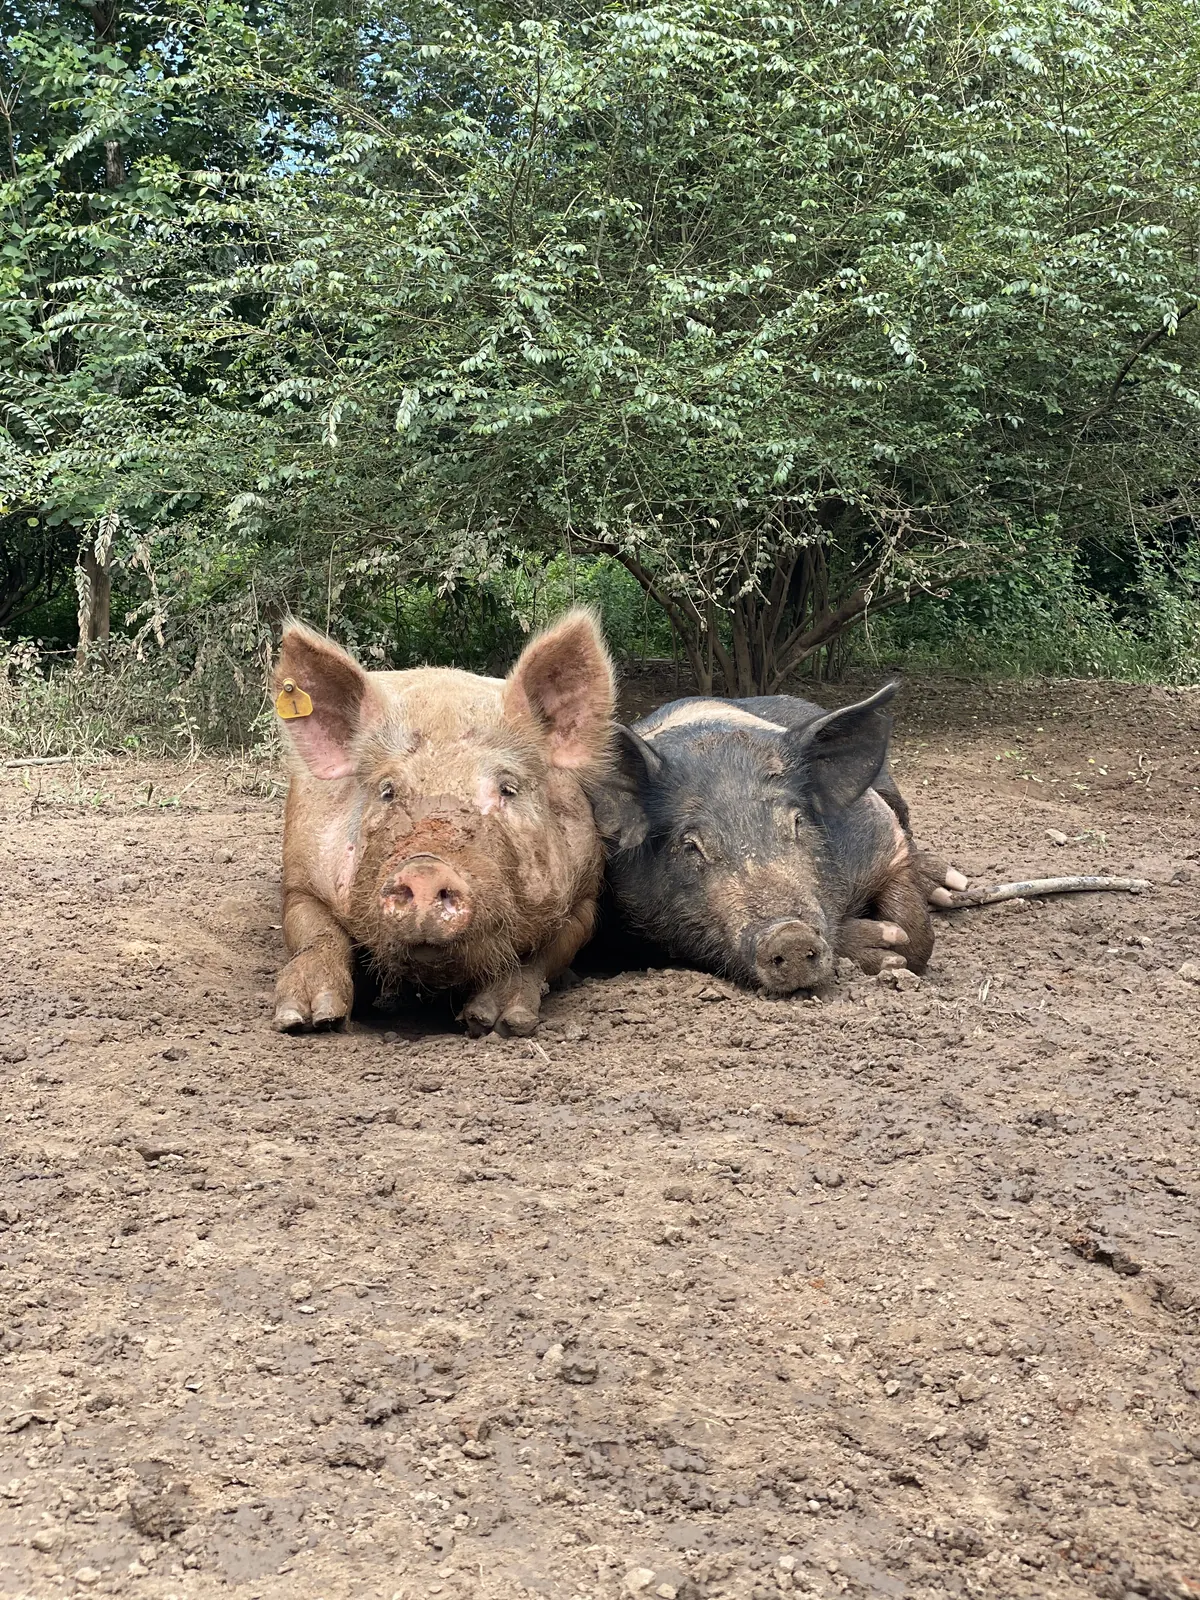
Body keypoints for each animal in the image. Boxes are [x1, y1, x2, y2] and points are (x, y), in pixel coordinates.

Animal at [271, 610, 614, 1036]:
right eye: (387, 790)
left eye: (508, 788)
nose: (425, 870)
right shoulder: (300, 879)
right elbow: (316, 933)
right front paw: (305, 1019)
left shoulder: (585, 895)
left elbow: (541, 955)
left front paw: (495, 1022)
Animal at [591, 684, 963, 993]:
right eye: (690, 846)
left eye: (797, 821)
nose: (789, 935)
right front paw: (887, 949)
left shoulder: (881, 837)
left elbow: (917, 931)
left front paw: (896, 947)